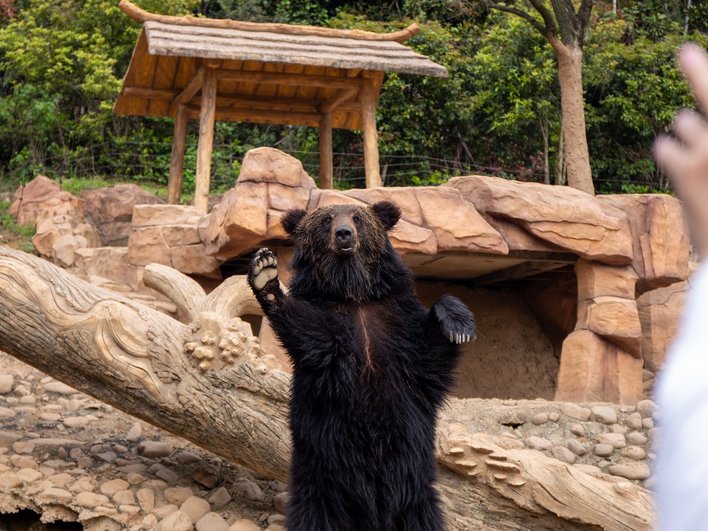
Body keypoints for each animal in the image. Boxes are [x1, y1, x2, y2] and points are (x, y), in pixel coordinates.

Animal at [249, 201, 476, 531]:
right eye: (326, 219)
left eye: (357, 217)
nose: (344, 234)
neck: (353, 293)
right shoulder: (329, 335)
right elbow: (312, 334)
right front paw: (265, 274)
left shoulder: (397, 325)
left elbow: (430, 355)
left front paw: (459, 325)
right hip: (318, 478)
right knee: (313, 515)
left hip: (415, 490)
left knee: (423, 517)